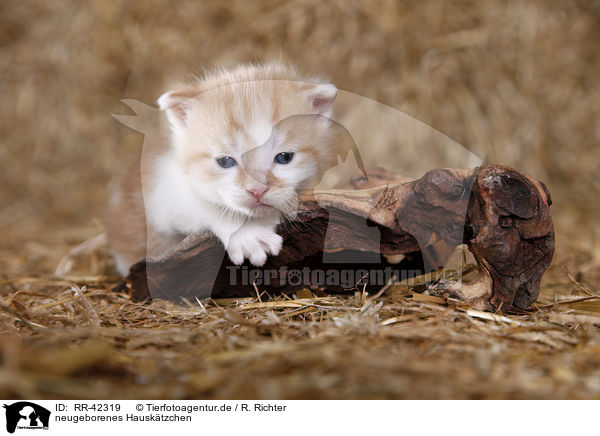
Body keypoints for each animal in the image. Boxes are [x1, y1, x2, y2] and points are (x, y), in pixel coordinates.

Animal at [107, 62, 340, 274]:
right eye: (225, 161)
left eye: (284, 157)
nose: (257, 191)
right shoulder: (161, 193)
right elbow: (202, 204)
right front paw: (248, 234)